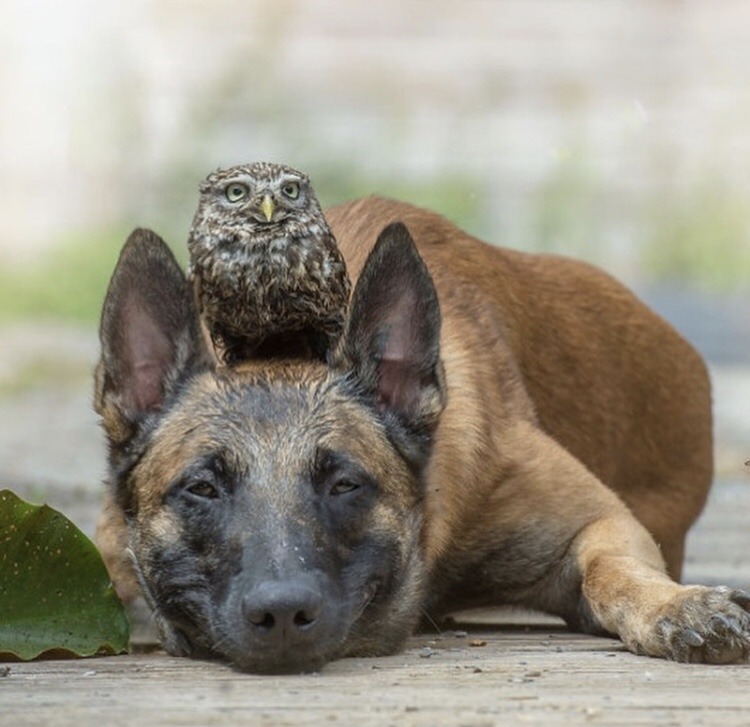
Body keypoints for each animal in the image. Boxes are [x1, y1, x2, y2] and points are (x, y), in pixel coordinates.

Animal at [94, 196, 750, 673]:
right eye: (202, 489)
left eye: (345, 485)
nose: (281, 615)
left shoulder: (601, 523)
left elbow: (614, 571)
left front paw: (678, 605)